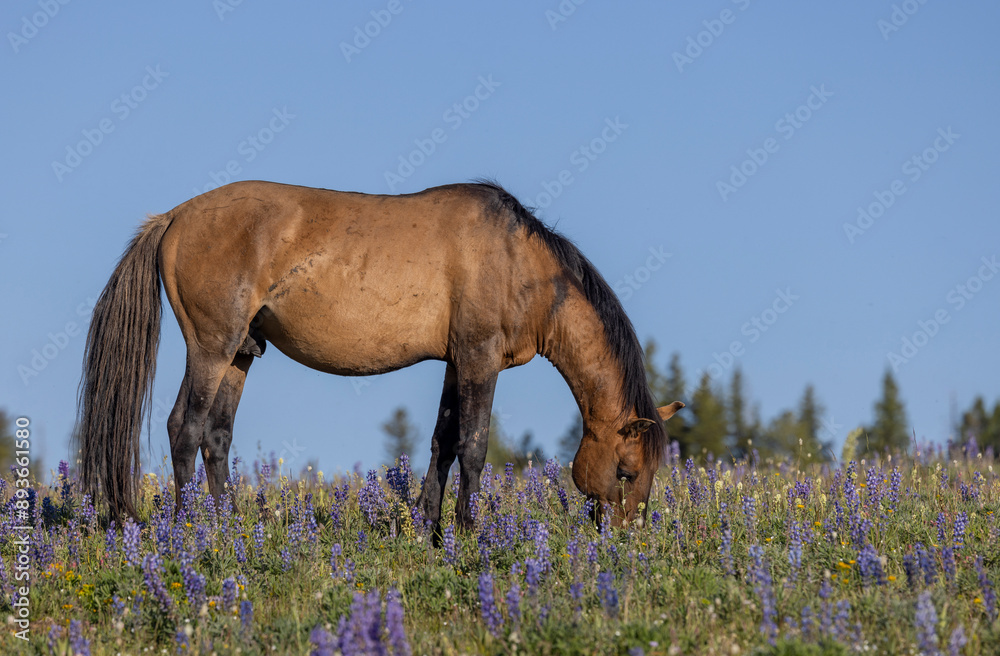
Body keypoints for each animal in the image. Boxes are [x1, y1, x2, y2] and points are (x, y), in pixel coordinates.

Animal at [78, 179, 684, 532]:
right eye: (627, 471)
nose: (627, 538)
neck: (519, 261)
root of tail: (175, 217)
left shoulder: (456, 362)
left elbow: (442, 443)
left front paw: (430, 530)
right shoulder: (480, 358)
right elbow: (473, 446)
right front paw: (469, 532)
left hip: (240, 354)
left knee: (216, 438)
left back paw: (229, 526)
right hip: (211, 347)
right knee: (185, 429)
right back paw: (192, 532)